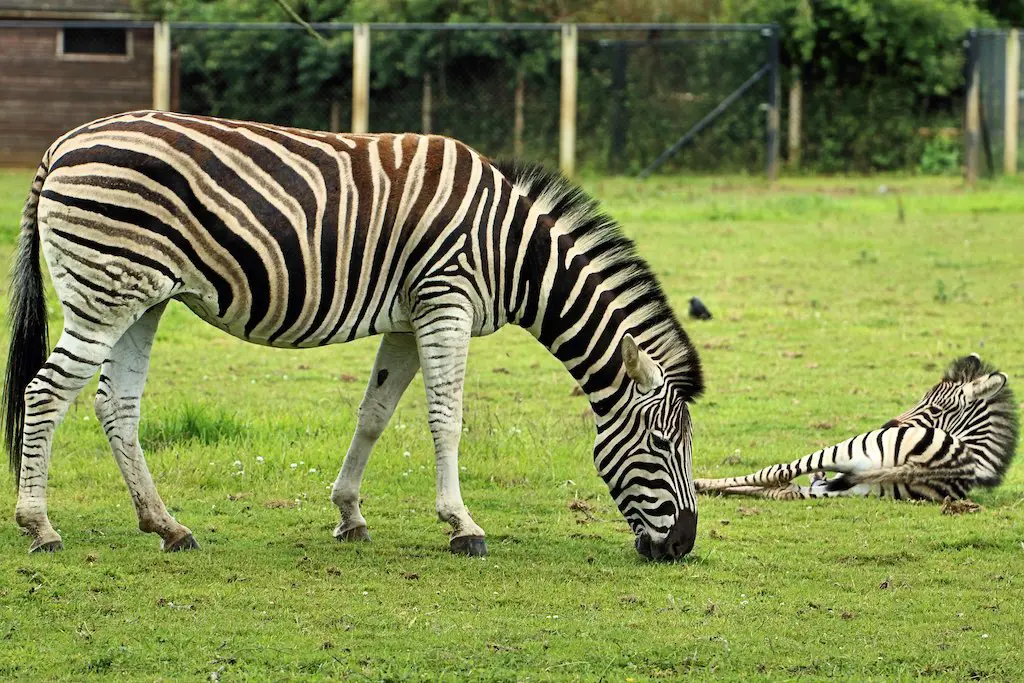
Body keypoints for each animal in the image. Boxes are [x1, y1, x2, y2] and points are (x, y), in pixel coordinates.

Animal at [2, 112, 704, 561]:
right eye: (661, 444)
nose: (683, 545)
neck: (512, 250)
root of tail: (63, 142)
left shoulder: (408, 318)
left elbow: (375, 413)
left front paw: (349, 515)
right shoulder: (445, 299)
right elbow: (446, 417)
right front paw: (462, 525)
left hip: (141, 298)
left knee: (114, 403)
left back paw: (166, 526)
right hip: (105, 291)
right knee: (45, 392)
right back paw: (40, 527)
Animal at [696, 358, 1015, 501]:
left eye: (936, 409)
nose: (887, 426)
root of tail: (941, 466)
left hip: (850, 447)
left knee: (779, 473)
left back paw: (700, 483)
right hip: (857, 486)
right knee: (787, 490)